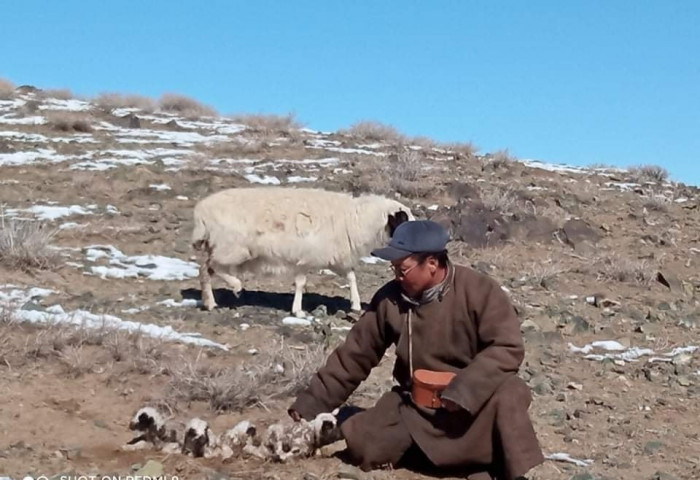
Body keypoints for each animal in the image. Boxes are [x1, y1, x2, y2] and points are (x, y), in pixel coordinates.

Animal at [189, 187, 412, 316]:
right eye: (403, 220)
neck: (354, 219)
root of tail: (201, 213)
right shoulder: (307, 257)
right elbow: (300, 283)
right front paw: (297, 311)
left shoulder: (333, 257)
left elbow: (351, 277)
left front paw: (356, 304)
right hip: (232, 248)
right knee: (211, 266)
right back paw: (235, 287)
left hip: (226, 248)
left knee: (206, 270)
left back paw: (210, 303)